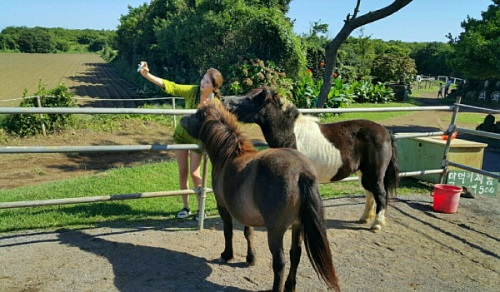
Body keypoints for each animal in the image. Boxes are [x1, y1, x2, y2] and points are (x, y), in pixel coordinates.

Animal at [180, 101, 340, 292]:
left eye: (196, 115)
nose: (182, 119)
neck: (229, 155)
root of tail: (302, 172)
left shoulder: (223, 207)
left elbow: (228, 232)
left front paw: (227, 255)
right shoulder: (245, 213)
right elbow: (249, 233)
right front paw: (250, 258)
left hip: (276, 231)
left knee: (280, 262)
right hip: (297, 225)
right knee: (295, 254)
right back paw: (290, 286)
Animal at [225, 86, 400, 230]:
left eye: (251, 99)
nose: (225, 101)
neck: (291, 133)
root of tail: (385, 132)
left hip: (375, 173)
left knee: (380, 194)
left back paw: (376, 224)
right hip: (363, 173)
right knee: (370, 193)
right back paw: (364, 219)